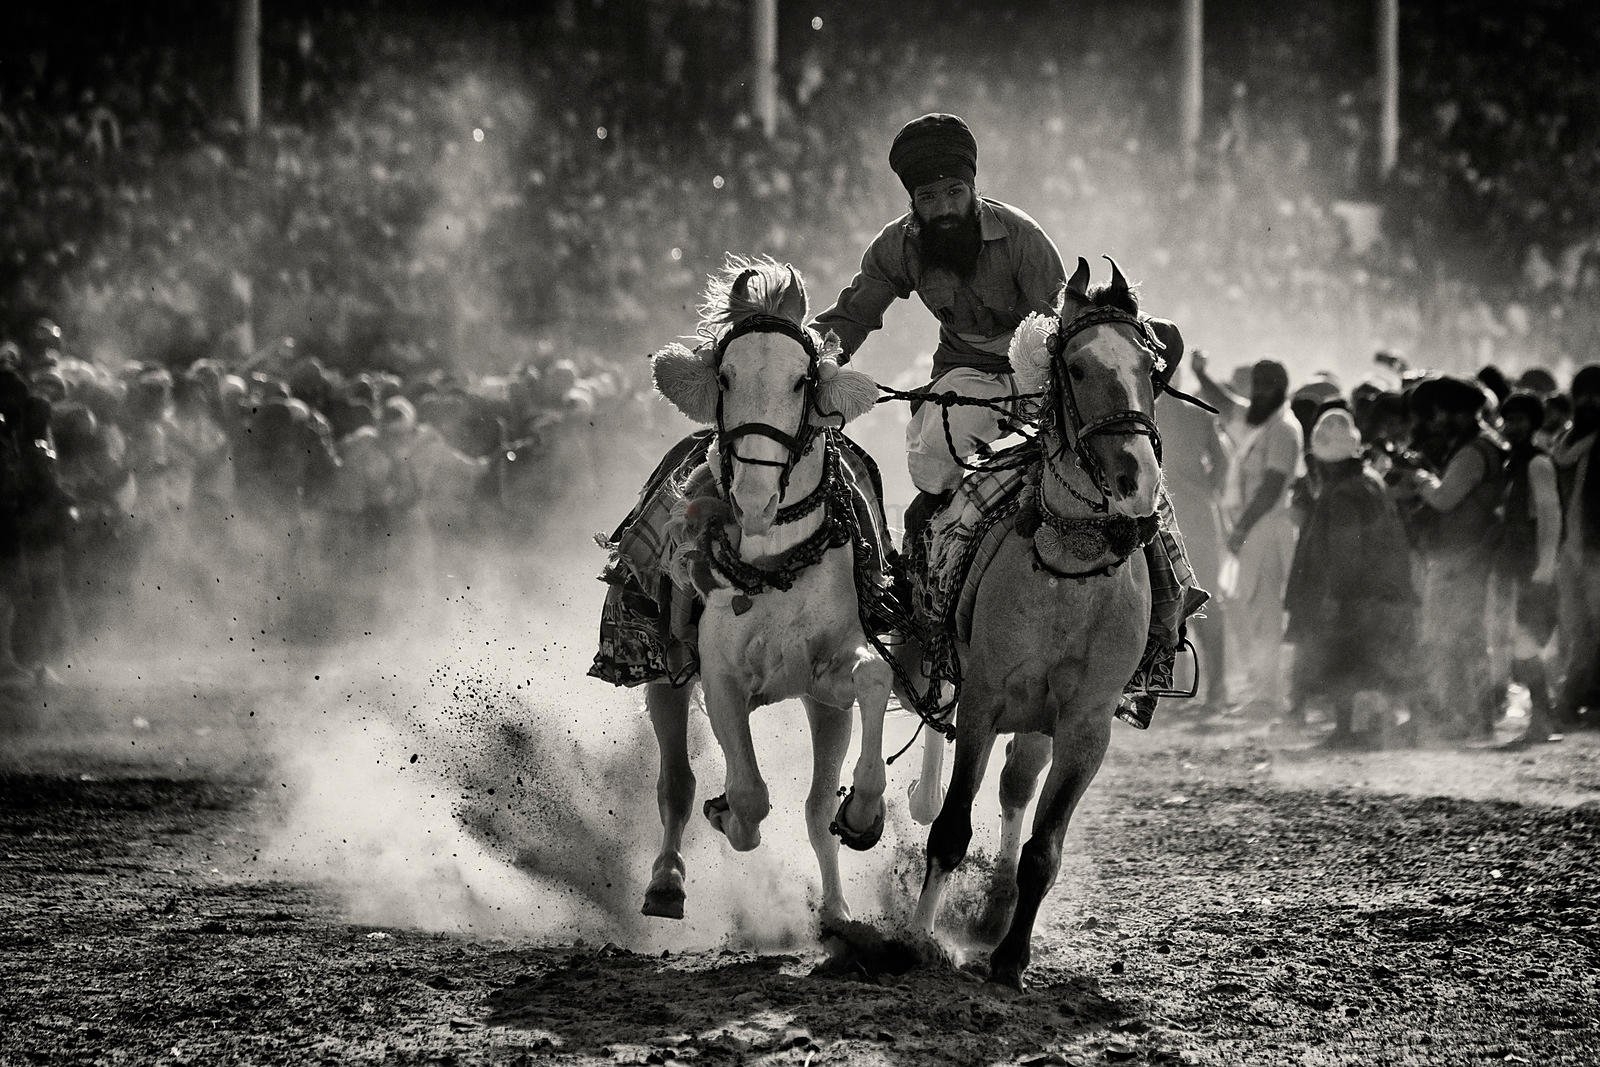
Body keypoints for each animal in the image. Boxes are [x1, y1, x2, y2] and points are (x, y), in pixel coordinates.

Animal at [636, 255, 889, 927]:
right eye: (724, 376)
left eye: (802, 381)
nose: (752, 498)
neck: (776, 564)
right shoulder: (721, 675)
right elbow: (748, 794)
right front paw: (728, 814)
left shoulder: (829, 678)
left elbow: (875, 681)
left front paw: (864, 812)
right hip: (663, 672)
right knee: (676, 782)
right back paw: (666, 879)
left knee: (810, 807)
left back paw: (836, 909)